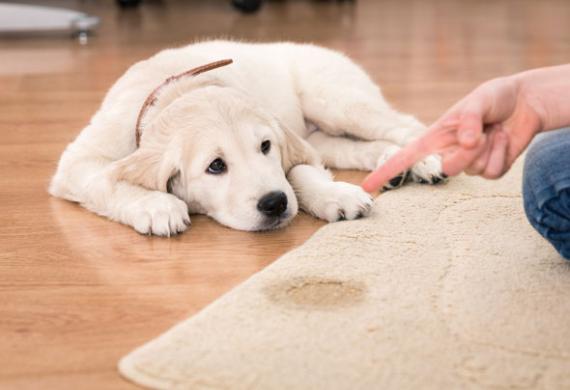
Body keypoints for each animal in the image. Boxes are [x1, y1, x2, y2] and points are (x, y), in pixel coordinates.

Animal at [48, 40, 442, 235]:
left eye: (265, 146)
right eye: (215, 166)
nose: (275, 204)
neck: (177, 90)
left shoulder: (291, 145)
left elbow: (299, 172)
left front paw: (334, 195)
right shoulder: (77, 162)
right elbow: (106, 181)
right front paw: (157, 206)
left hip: (336, 100)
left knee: (404, 124)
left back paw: (424, 161)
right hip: (324, 134)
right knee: (358, 147)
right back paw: (392, 166)